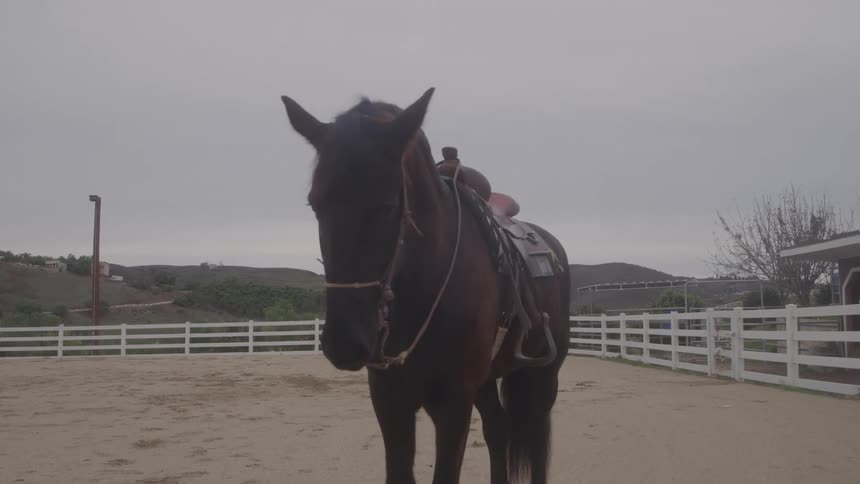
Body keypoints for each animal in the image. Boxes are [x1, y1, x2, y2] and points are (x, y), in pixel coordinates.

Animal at [280, 87, 571, 484]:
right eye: (315, 204)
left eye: (388, 204)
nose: (344, 343)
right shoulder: (390, 401)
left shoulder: (453, 403)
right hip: (486, 381)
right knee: (498, 429)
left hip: (542, 377)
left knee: (536, 443)